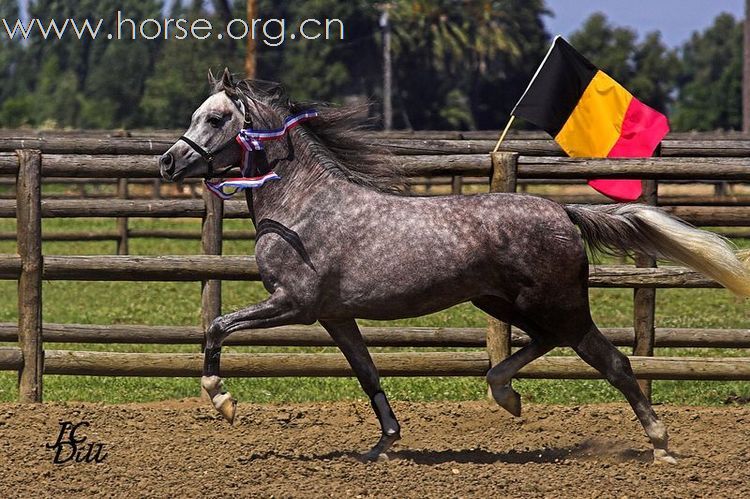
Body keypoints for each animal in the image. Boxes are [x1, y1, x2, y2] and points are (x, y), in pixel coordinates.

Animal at [160, 69, 750, 464]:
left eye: (217, 117)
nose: (167, 161)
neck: (303, 207)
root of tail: (563, 210)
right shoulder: (334, 315)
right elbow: (366, 371)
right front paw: (384, 444)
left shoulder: (293, 304)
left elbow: (217, 327)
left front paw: (223, 401)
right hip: (504, 302)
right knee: (543, 345)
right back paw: (506, 394)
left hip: (560, 305)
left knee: (615, 362)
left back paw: (660, 445)